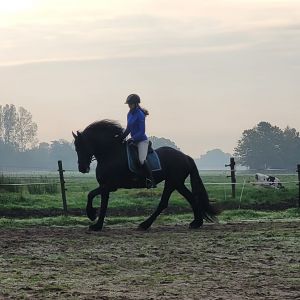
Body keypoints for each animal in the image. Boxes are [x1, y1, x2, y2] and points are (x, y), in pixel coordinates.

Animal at [72, 120, 218, 232]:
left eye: (82, 146)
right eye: (76, 148)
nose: (82, 168)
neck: (110, 153)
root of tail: (185, 156)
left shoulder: (110, 185)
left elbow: (90, 194)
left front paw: (91, 215)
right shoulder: (105, 186)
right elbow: (103, 205)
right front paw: (97, 225)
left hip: (173, 182)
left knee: (165, 203)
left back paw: (145, 224)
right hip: (176, 183)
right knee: (190, 198)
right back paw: (196, 223)